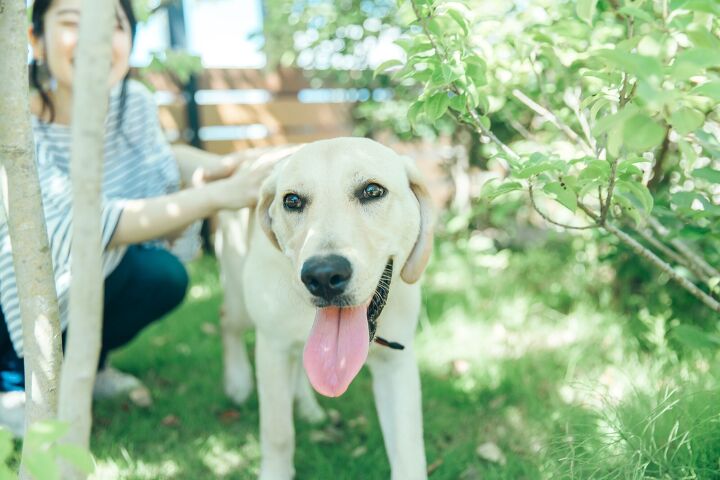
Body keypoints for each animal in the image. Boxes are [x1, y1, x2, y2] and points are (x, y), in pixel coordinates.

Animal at [217, 137, 434, 478]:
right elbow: (278, 433)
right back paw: (238, 381)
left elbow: (409, 450)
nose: (322, 276)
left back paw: (307, 407)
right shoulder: (272, 349)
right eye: (292, 200)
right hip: (239, 296)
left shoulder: (397, 363)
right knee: (228, 323)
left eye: (372, 191)